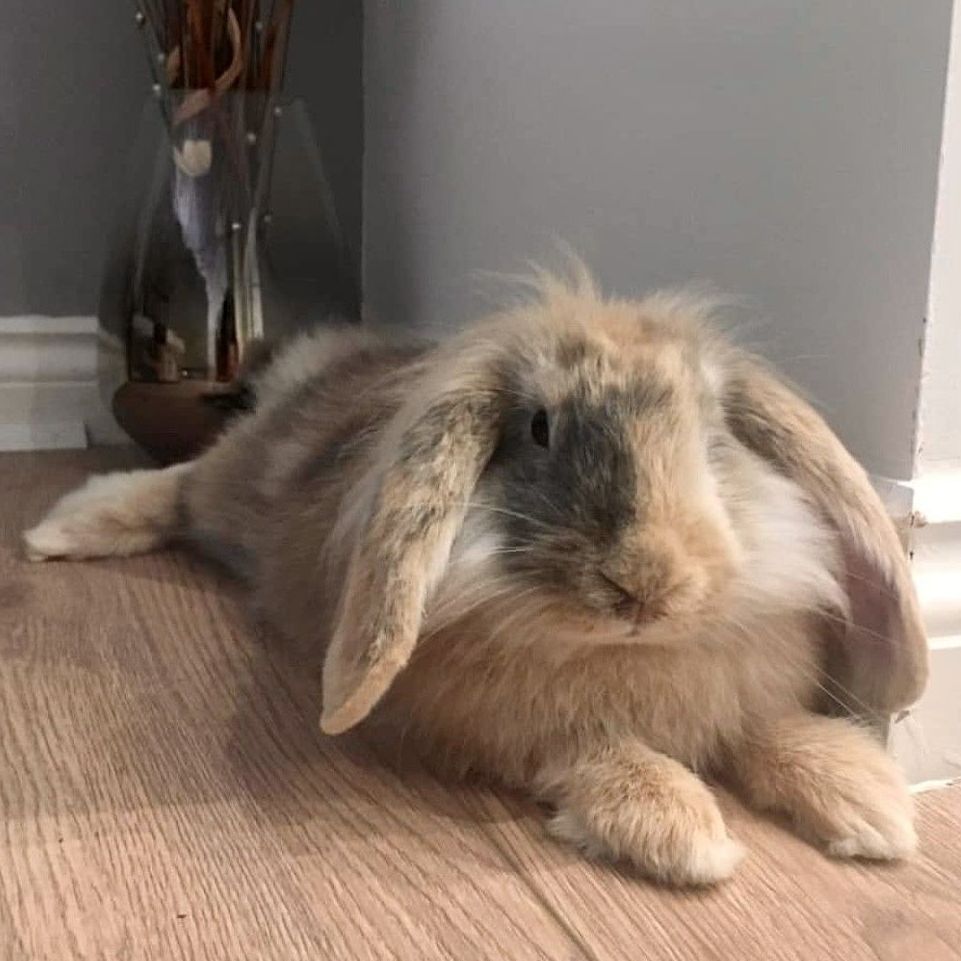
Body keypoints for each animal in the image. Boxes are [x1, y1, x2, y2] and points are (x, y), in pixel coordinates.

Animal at [24, 266, 927, 886]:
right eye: (539, 428)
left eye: (714, 437)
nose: (646, 583)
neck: (626, 649)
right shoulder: (507, 728)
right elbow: (601, 752)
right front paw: (683, 835)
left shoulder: (745, 691)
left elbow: (775, 729)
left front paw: (872, 807)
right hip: (229, 490)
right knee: (181, 484)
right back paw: (60, 530)